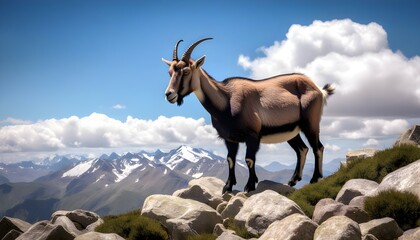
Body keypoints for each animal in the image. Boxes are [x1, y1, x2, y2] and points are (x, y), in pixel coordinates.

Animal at [162, 38, 334, 193]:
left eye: (186, 71)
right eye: (170, 72)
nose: (169, 94)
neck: (227, 100)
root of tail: (318, 89)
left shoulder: (252, 135)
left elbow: (249, 160)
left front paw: (250, 186)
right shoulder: (230, 139)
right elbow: (230, 160)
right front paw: (227, 187)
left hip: (310, 124)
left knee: (318, 147)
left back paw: (314, 179)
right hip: (292, 132)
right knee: (302, 149)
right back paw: (293, 180)